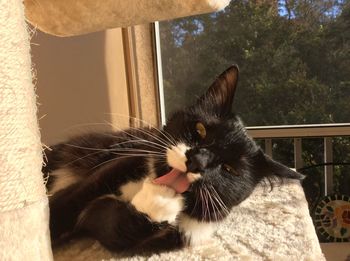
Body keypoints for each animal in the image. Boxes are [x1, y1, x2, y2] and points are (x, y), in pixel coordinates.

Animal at [44, 65, 304, 254]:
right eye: (200, 130)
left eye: (230, 169)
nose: (197, 161)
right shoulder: (116, 167)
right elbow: (68, 202)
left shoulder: (178, 234)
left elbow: (116, 233)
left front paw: (160, 202)